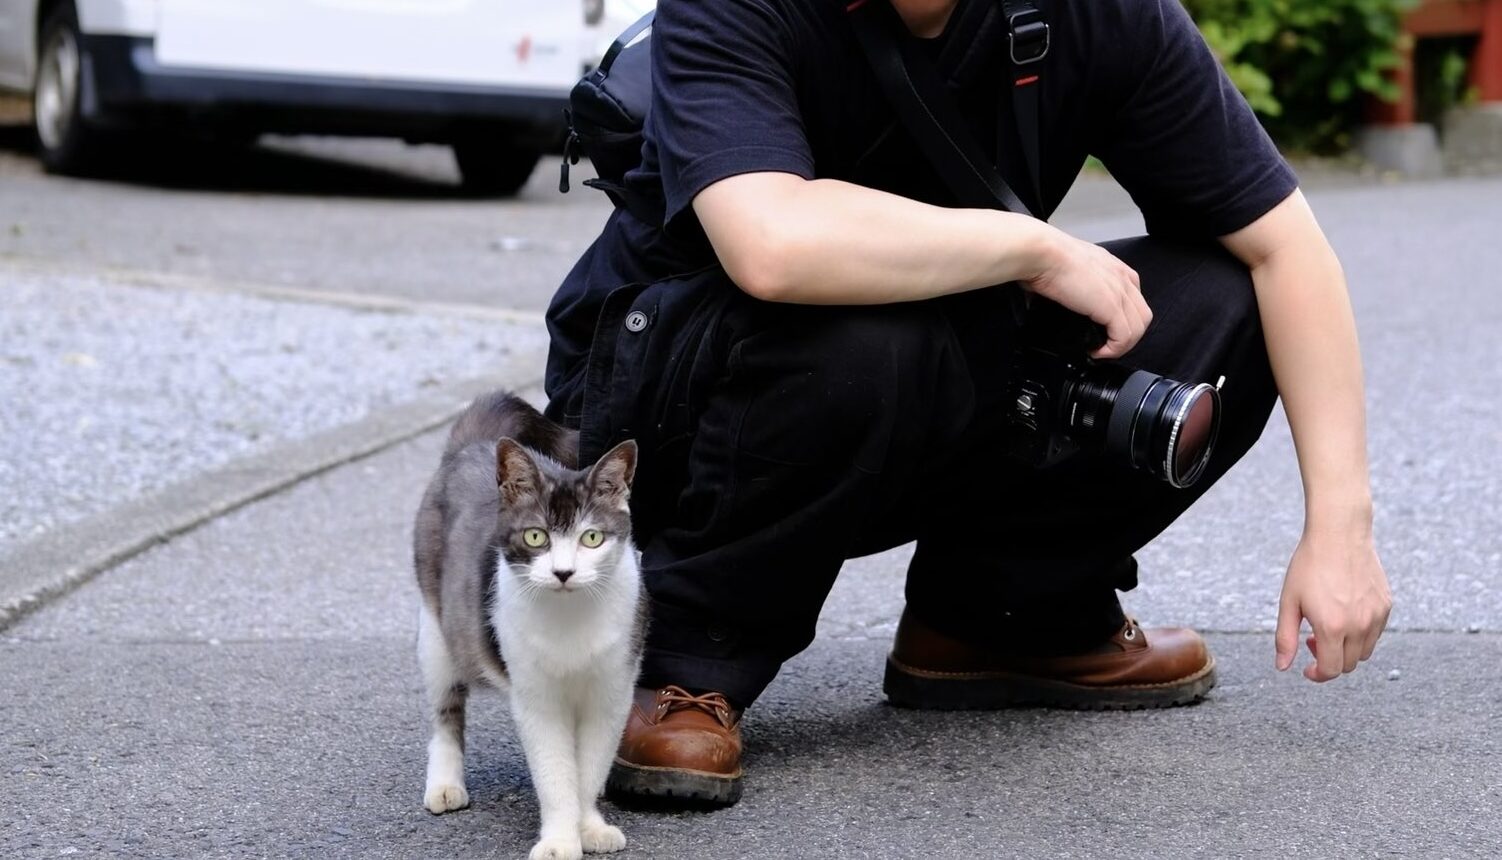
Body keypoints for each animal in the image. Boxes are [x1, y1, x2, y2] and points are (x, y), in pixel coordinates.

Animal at [414, 390, 642, 858]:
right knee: (446, 709)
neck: (570, 619)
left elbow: (590, 766)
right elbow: (555, 772)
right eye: (536, 536)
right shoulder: (537, 696)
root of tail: (472, 444)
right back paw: (445, 784)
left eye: (592, 538)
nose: (563, 572)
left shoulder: (612, 690)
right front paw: (559, 841)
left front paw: (590, 827)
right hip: (436, 627)